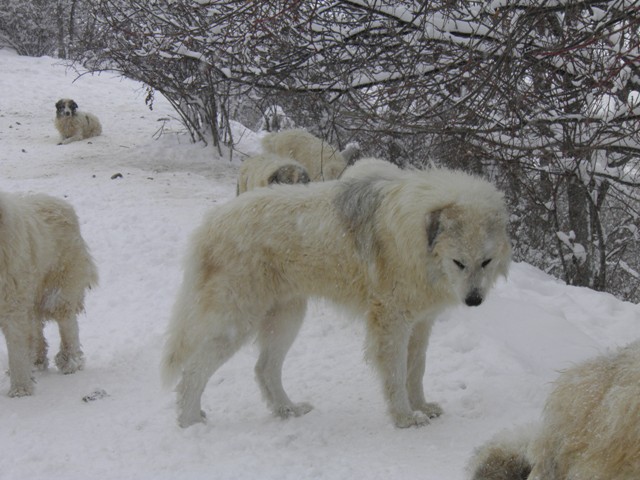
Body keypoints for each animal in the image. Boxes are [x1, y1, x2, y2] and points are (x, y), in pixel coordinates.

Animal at [0, 191, 97, 398]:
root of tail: (60, 202)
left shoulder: (11, 304)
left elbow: (16, 350)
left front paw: (20, 390)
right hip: (33, 292)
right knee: (35, 327)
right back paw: (36, 361)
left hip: (59, 288)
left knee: (67, 324)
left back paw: (70, 361)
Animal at [162, 161, 512, 428]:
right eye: (459, 263)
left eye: (486, 262)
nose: (474, 300)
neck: (418, 240)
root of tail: (210, 224)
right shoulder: (392, 323)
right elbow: (397, 375)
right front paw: (405, 418)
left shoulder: (421, 325)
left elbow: (416, 371)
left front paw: (422, 407)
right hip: (237, 322)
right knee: (193, 372)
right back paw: (191, 422)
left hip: (286, 317)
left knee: (264, 369)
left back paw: (288, 410)